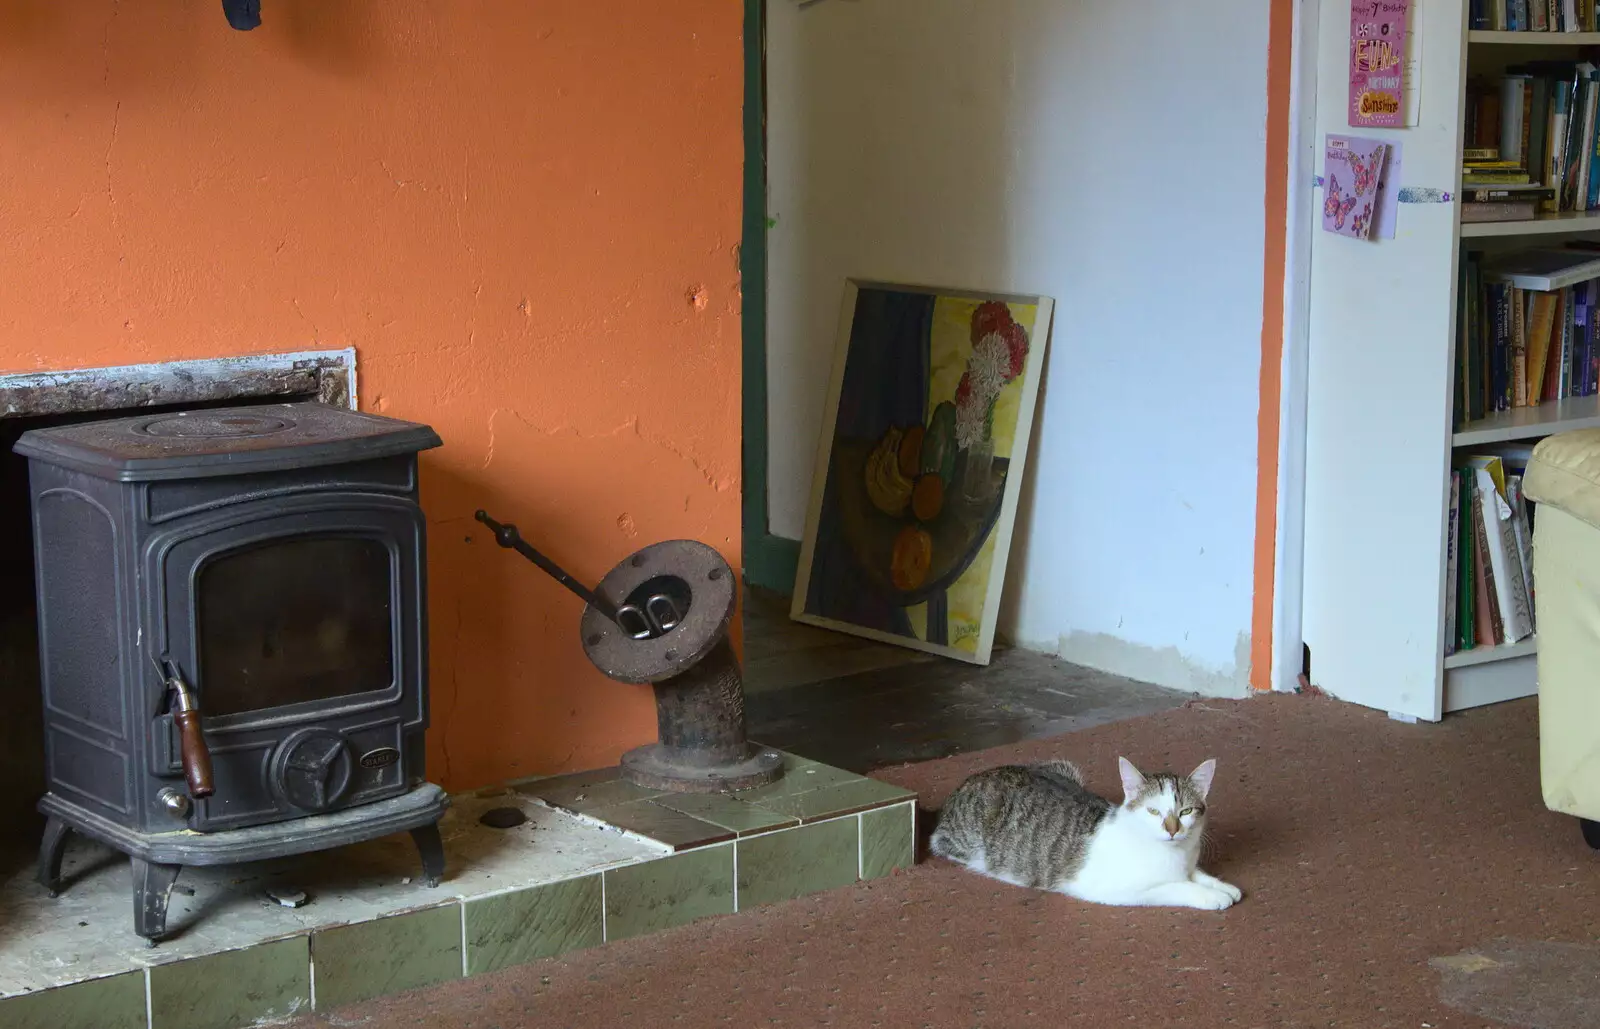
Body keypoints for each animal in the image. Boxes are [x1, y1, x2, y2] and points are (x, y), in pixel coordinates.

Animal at [934, 755, 1241, 908]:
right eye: (1153, 811)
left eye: (1185, 812)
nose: (1172, 829)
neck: (1175, 855)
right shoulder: (1116, 889)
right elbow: (1175, 886)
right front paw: (1210, 896)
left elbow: (1197, 874)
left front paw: (1221, 885)